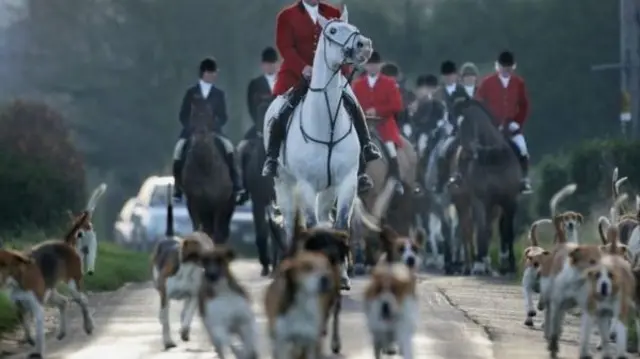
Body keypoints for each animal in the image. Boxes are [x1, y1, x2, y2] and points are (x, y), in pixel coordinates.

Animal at [181, 97, 236, 245]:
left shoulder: (219, 205)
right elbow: (197, 229)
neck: (205, 167)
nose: (200, 140)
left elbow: (216, 233)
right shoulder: (194, 204)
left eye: (210, 116)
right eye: (192, 116)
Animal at [264, 8, 376, 243]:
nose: (364, 45)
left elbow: (340, 228)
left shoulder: (346, 182)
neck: (328, 126)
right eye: (332, 30)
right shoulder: (306, 185)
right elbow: (311, 228)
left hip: (327, 190)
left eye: (353, 27)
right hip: (285, 185)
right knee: (291, 226)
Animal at [448, 98, 524, 276]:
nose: (464, 154)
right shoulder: (479, 201)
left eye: (464, 123)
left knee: (488, 229)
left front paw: (510, 265)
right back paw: (470, 265)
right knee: (467, 231)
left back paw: (487, 264)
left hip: (493, 207)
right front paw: (479, 264)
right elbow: (481, 231)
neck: (493, 158)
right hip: (463, 202)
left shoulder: (510, 200)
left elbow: (507, 231)